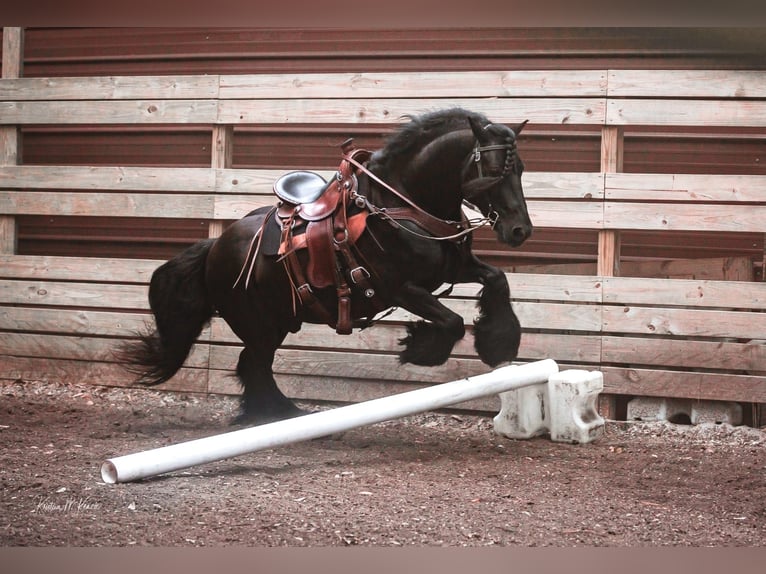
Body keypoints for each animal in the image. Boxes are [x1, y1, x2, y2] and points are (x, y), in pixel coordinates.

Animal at [124, 108, 536, 426]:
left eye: (521, 168)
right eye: (495, 169)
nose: (520, 230)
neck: (403, 205)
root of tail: (215, 246)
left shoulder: (453, 269)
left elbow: (497, 280)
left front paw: (498, 342)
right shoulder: (399, 288)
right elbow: (451, 321)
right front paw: (418, 348)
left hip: (275, 322)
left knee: (252, 365)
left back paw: (274, 414)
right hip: (258, 325)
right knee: (254, 365)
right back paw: (278, 414)